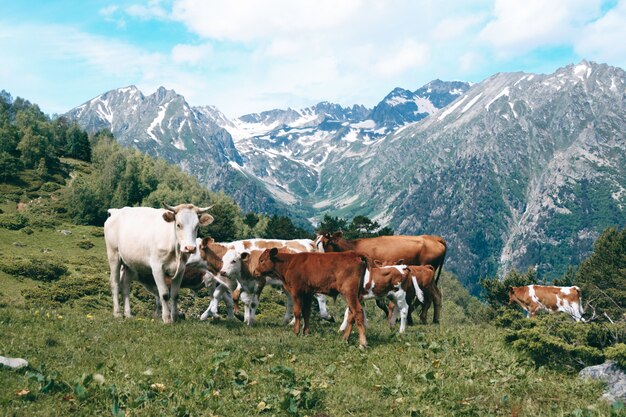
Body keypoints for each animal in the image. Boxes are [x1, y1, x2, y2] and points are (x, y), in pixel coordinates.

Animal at [312, 232, 444, 324]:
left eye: (325, 243)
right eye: (314, 242)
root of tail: (434, 238)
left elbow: (379, 302)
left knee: (428, 297)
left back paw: (421, 318)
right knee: (436, 295)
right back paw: (434, 319)